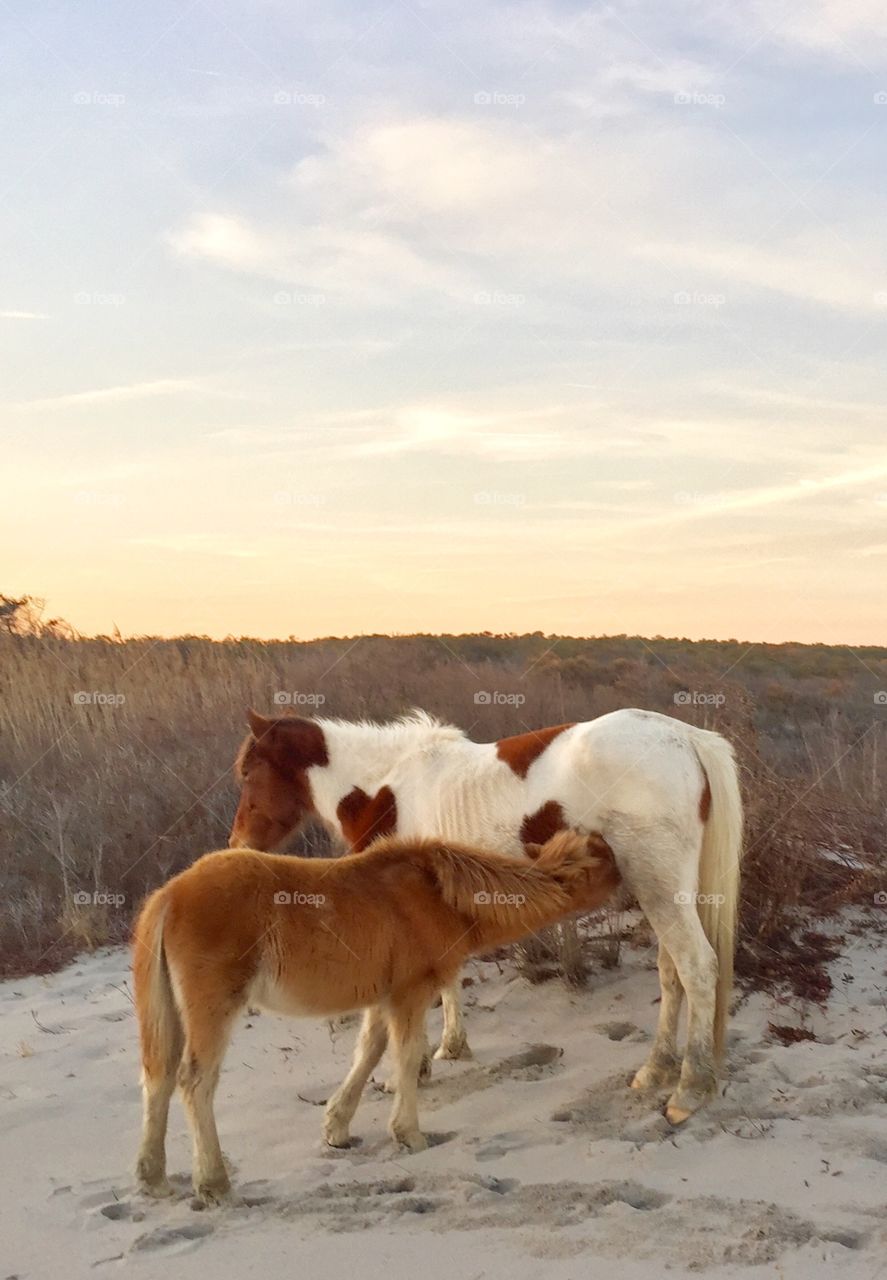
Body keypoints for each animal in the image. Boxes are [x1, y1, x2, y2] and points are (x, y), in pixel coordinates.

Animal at [230, 711, 742, 1121]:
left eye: (249, 772)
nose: (238, 844)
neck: (383, 789)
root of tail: (686, 738)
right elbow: (450, 979)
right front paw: (451, 1047)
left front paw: (411, 1068)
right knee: (672, 973)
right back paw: (656, 1070)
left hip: (659, 886)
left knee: (697, 969)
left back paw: (689, 1090)